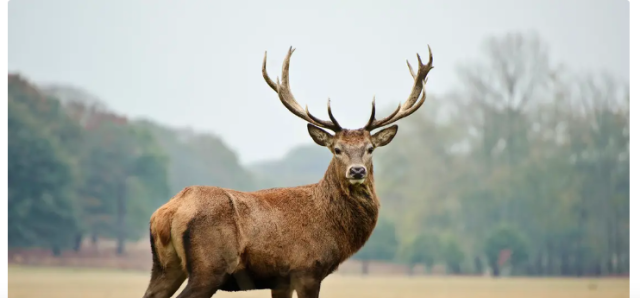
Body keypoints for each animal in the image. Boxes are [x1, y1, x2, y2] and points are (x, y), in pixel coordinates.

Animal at [142, 46, 432, 298]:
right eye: (336, 149)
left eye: (370, 148)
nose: (357, 170)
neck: (332, 226)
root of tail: (168, 211)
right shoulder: (307, 269)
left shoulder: (280, 280)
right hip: (209, 267)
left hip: (165, 266)